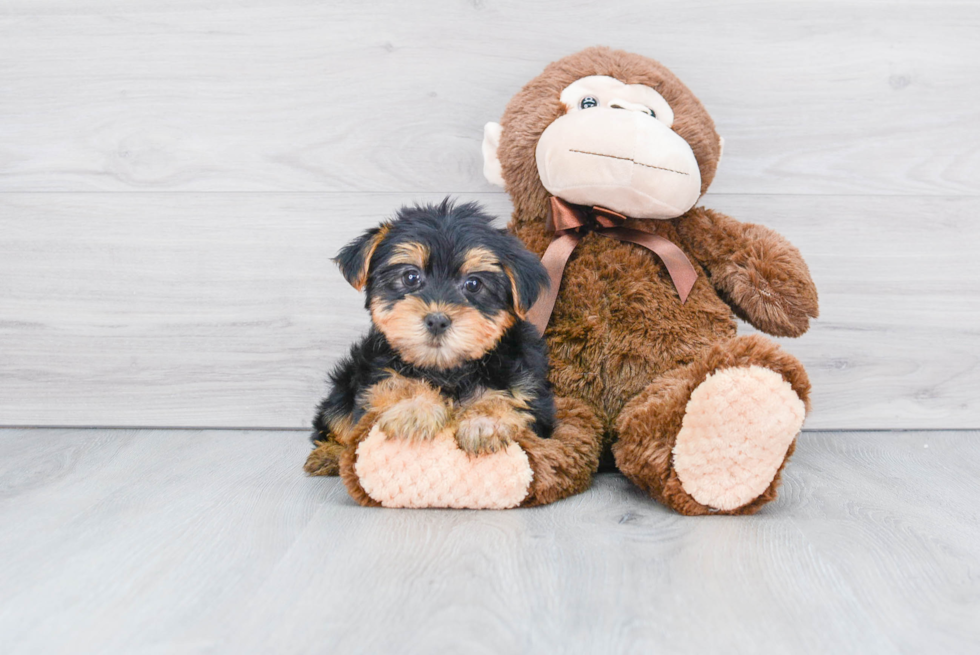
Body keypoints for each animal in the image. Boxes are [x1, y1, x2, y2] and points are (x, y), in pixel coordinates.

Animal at [308, 197, 552, 468]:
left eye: (473, 284)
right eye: (410, 277)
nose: (437, 321)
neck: (445, 370)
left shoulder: (529, 390)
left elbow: (508, 398)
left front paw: (485, 422)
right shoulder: (375, 376)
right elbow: (396, 384)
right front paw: (413, 409)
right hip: (344, 386)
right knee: (334, 419)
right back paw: (327, 456)